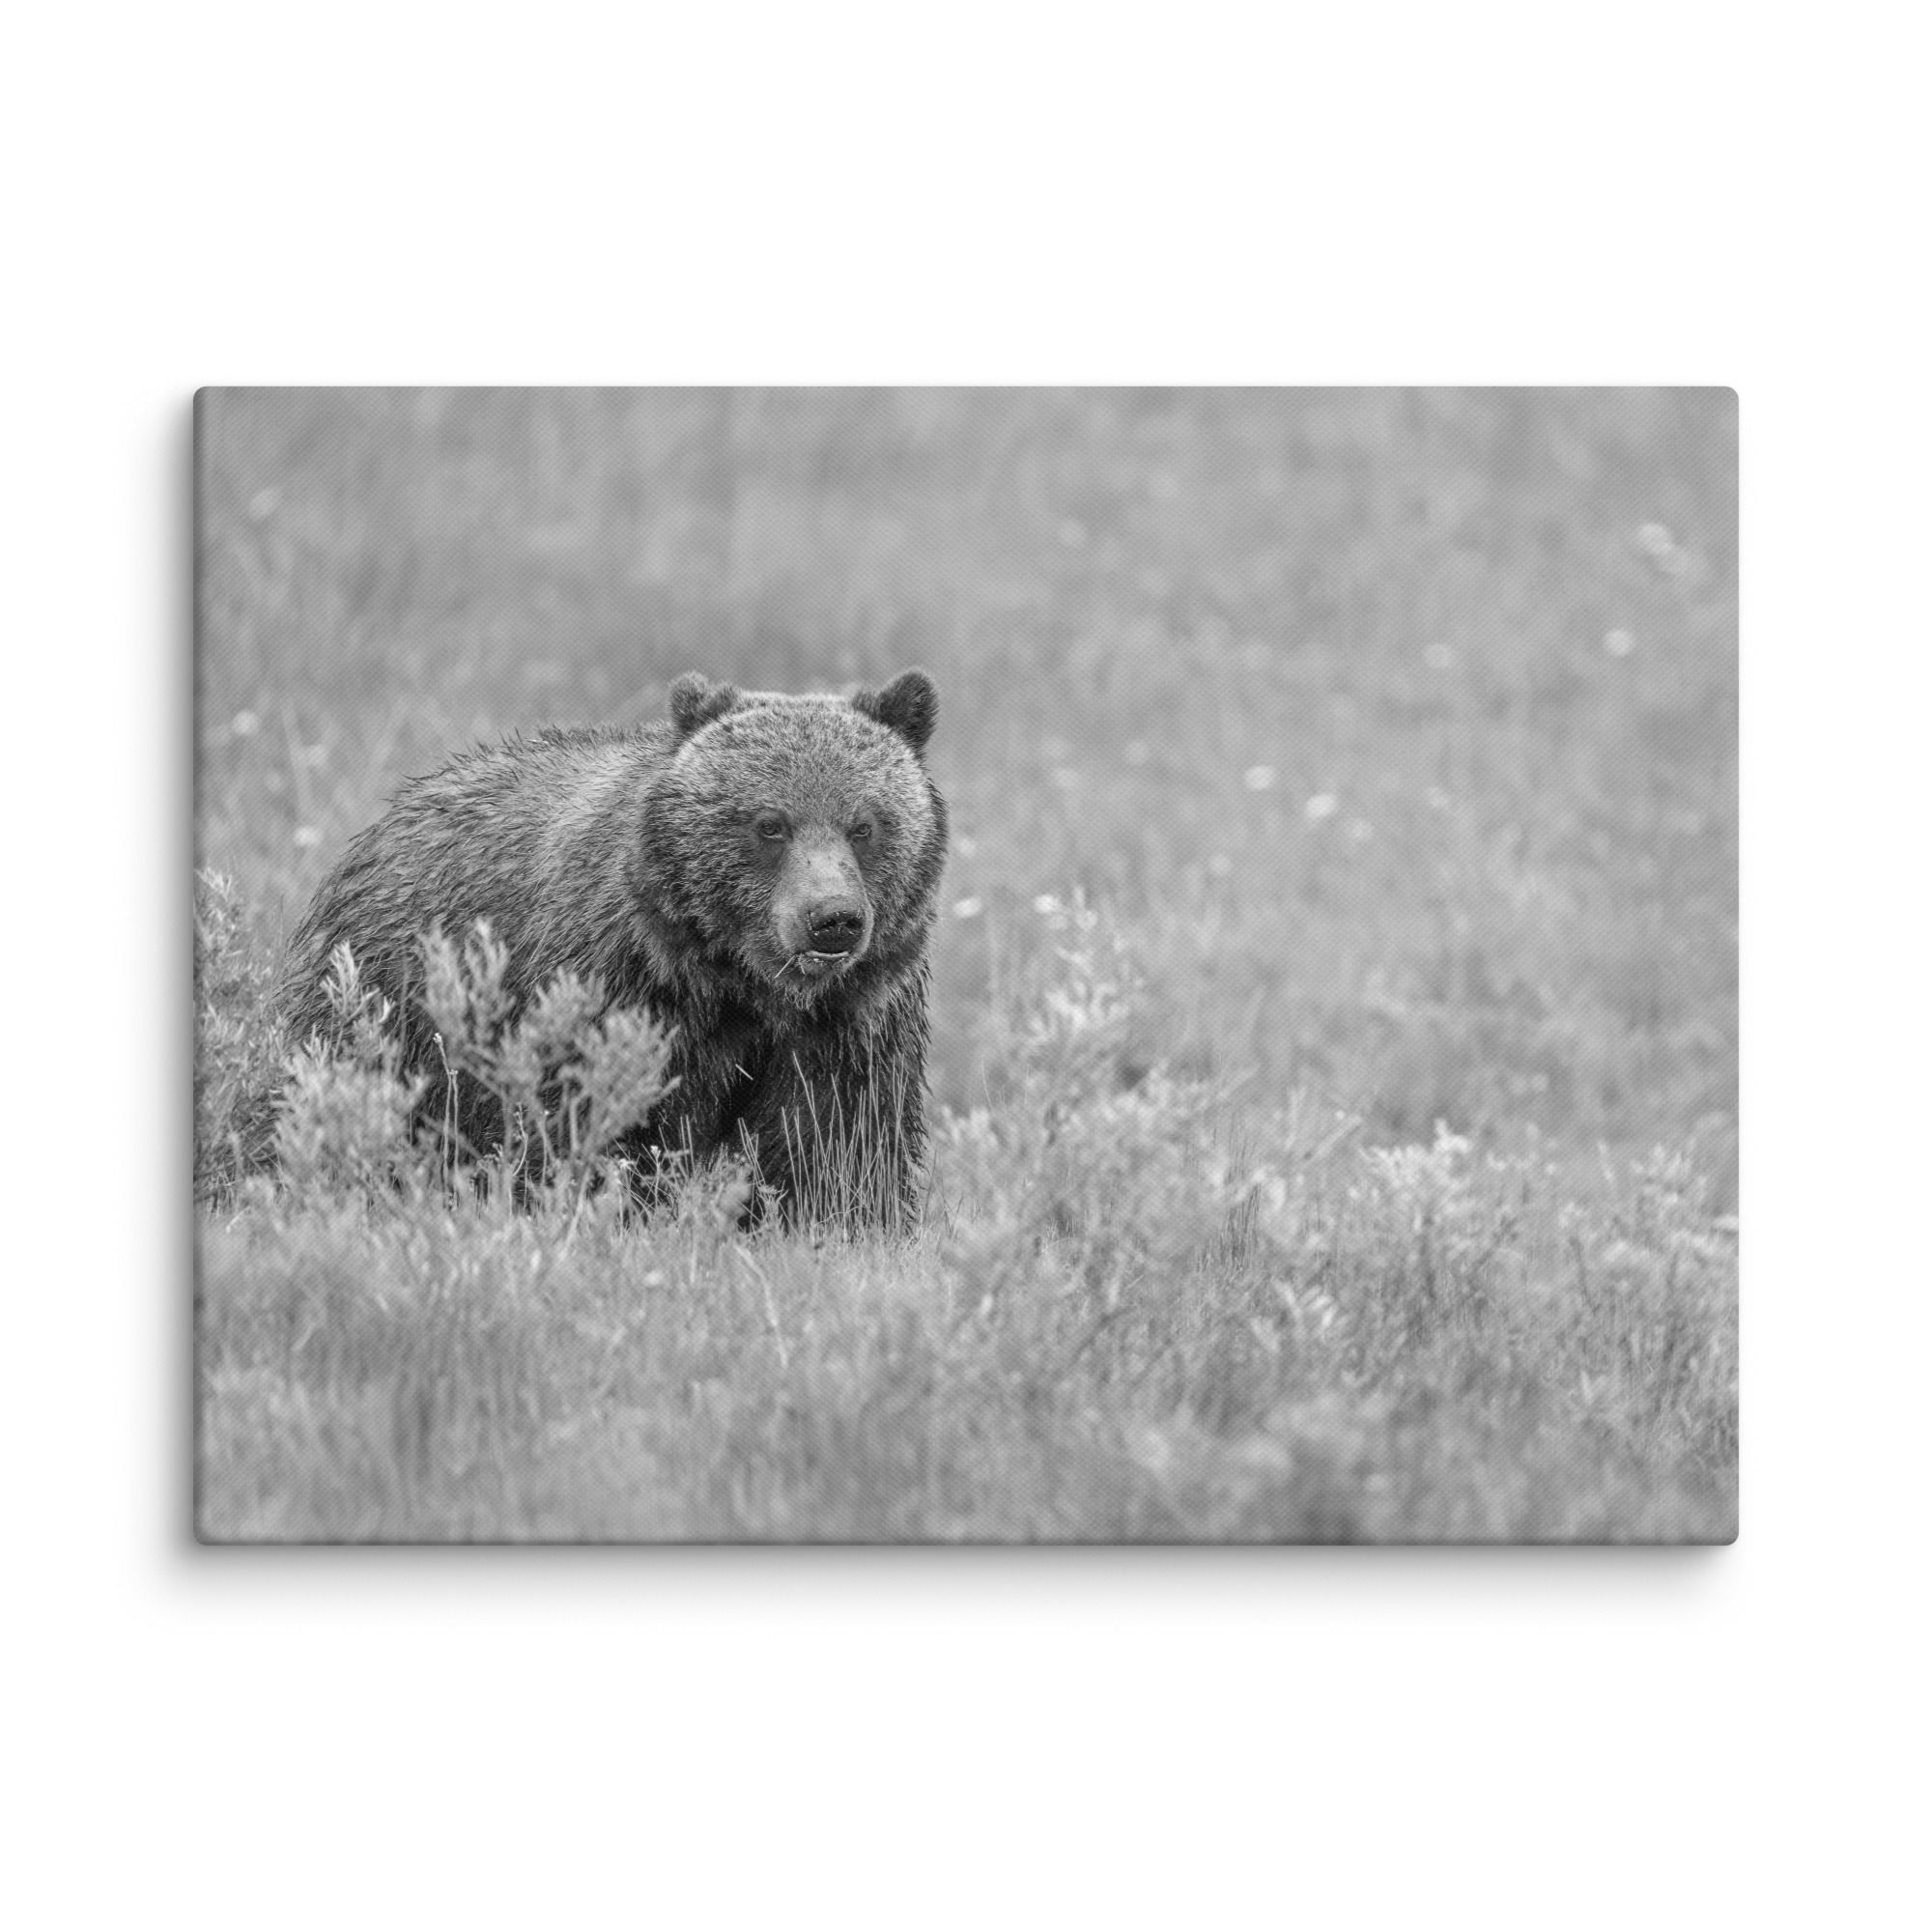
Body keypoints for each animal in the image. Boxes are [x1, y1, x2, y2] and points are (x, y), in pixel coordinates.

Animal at [277, 669, 947, 1227]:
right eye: (769, 823)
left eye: (864, 824)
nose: (832, 919)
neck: (741, 984)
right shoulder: (617, 989)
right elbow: (595, 1123)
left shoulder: (851, 1022)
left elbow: (838, 1147)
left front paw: (840, 1226)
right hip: (388, 1004)